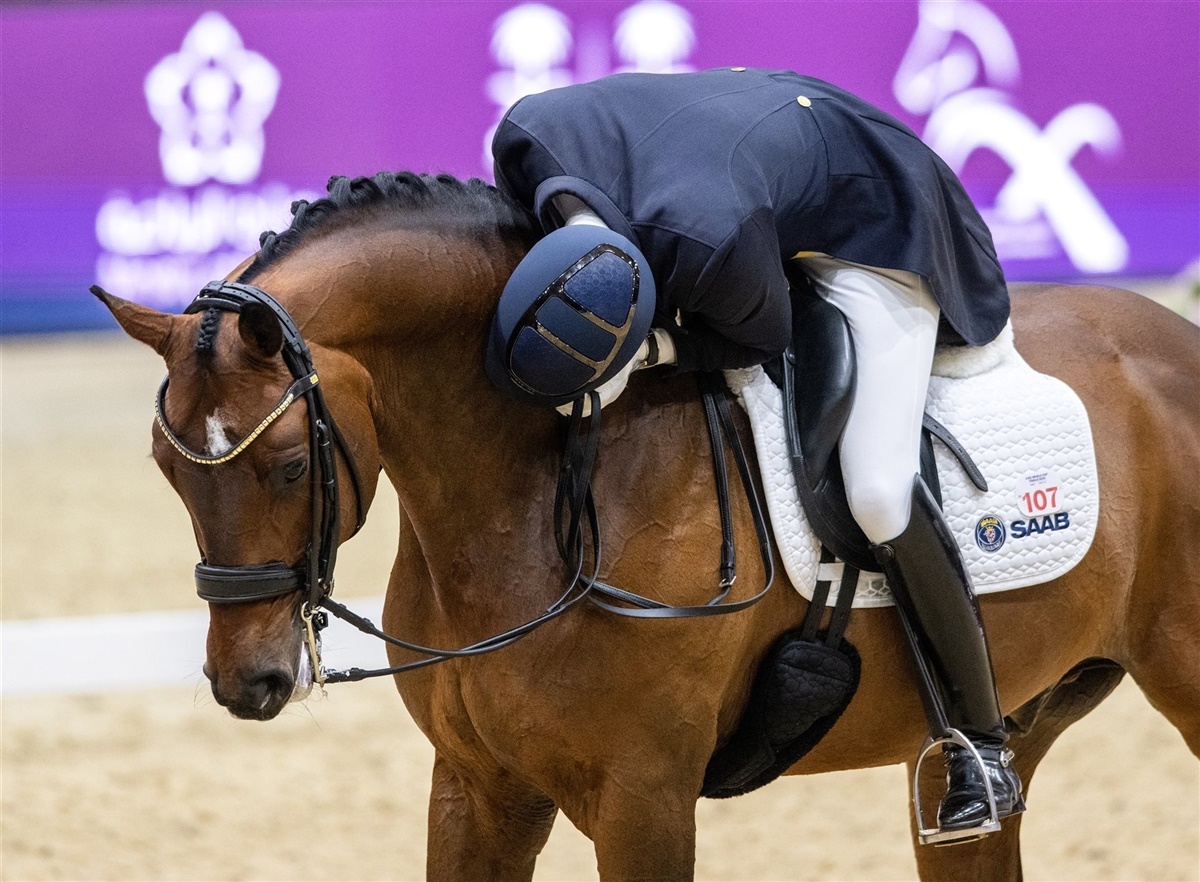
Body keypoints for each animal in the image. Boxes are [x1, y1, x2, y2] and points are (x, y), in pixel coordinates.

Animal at [94, 171, 1200, 881]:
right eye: (166, 469)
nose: (247, 683)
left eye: (287, 465)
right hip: (1014, 730)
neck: (531, 502)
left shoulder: (644, 800)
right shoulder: (478, 791)